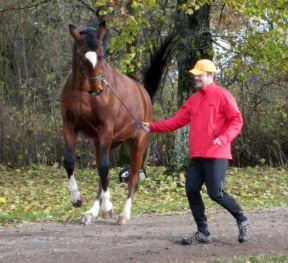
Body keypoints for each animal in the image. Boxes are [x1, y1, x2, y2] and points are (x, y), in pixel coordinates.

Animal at [60, 21, 173, 226]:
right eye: (82, 55)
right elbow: (71, 163)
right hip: (102, 143)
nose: (97, 88)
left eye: (101, 54)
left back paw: (123, 214)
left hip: (137, 143)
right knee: (102, 175)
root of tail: (144, 94)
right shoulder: (69, 126)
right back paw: (92, 212)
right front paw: (76, 198)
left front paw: (107, 207)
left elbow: (105, 168)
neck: (83, 95)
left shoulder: (106, 129)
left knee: (133, 179)